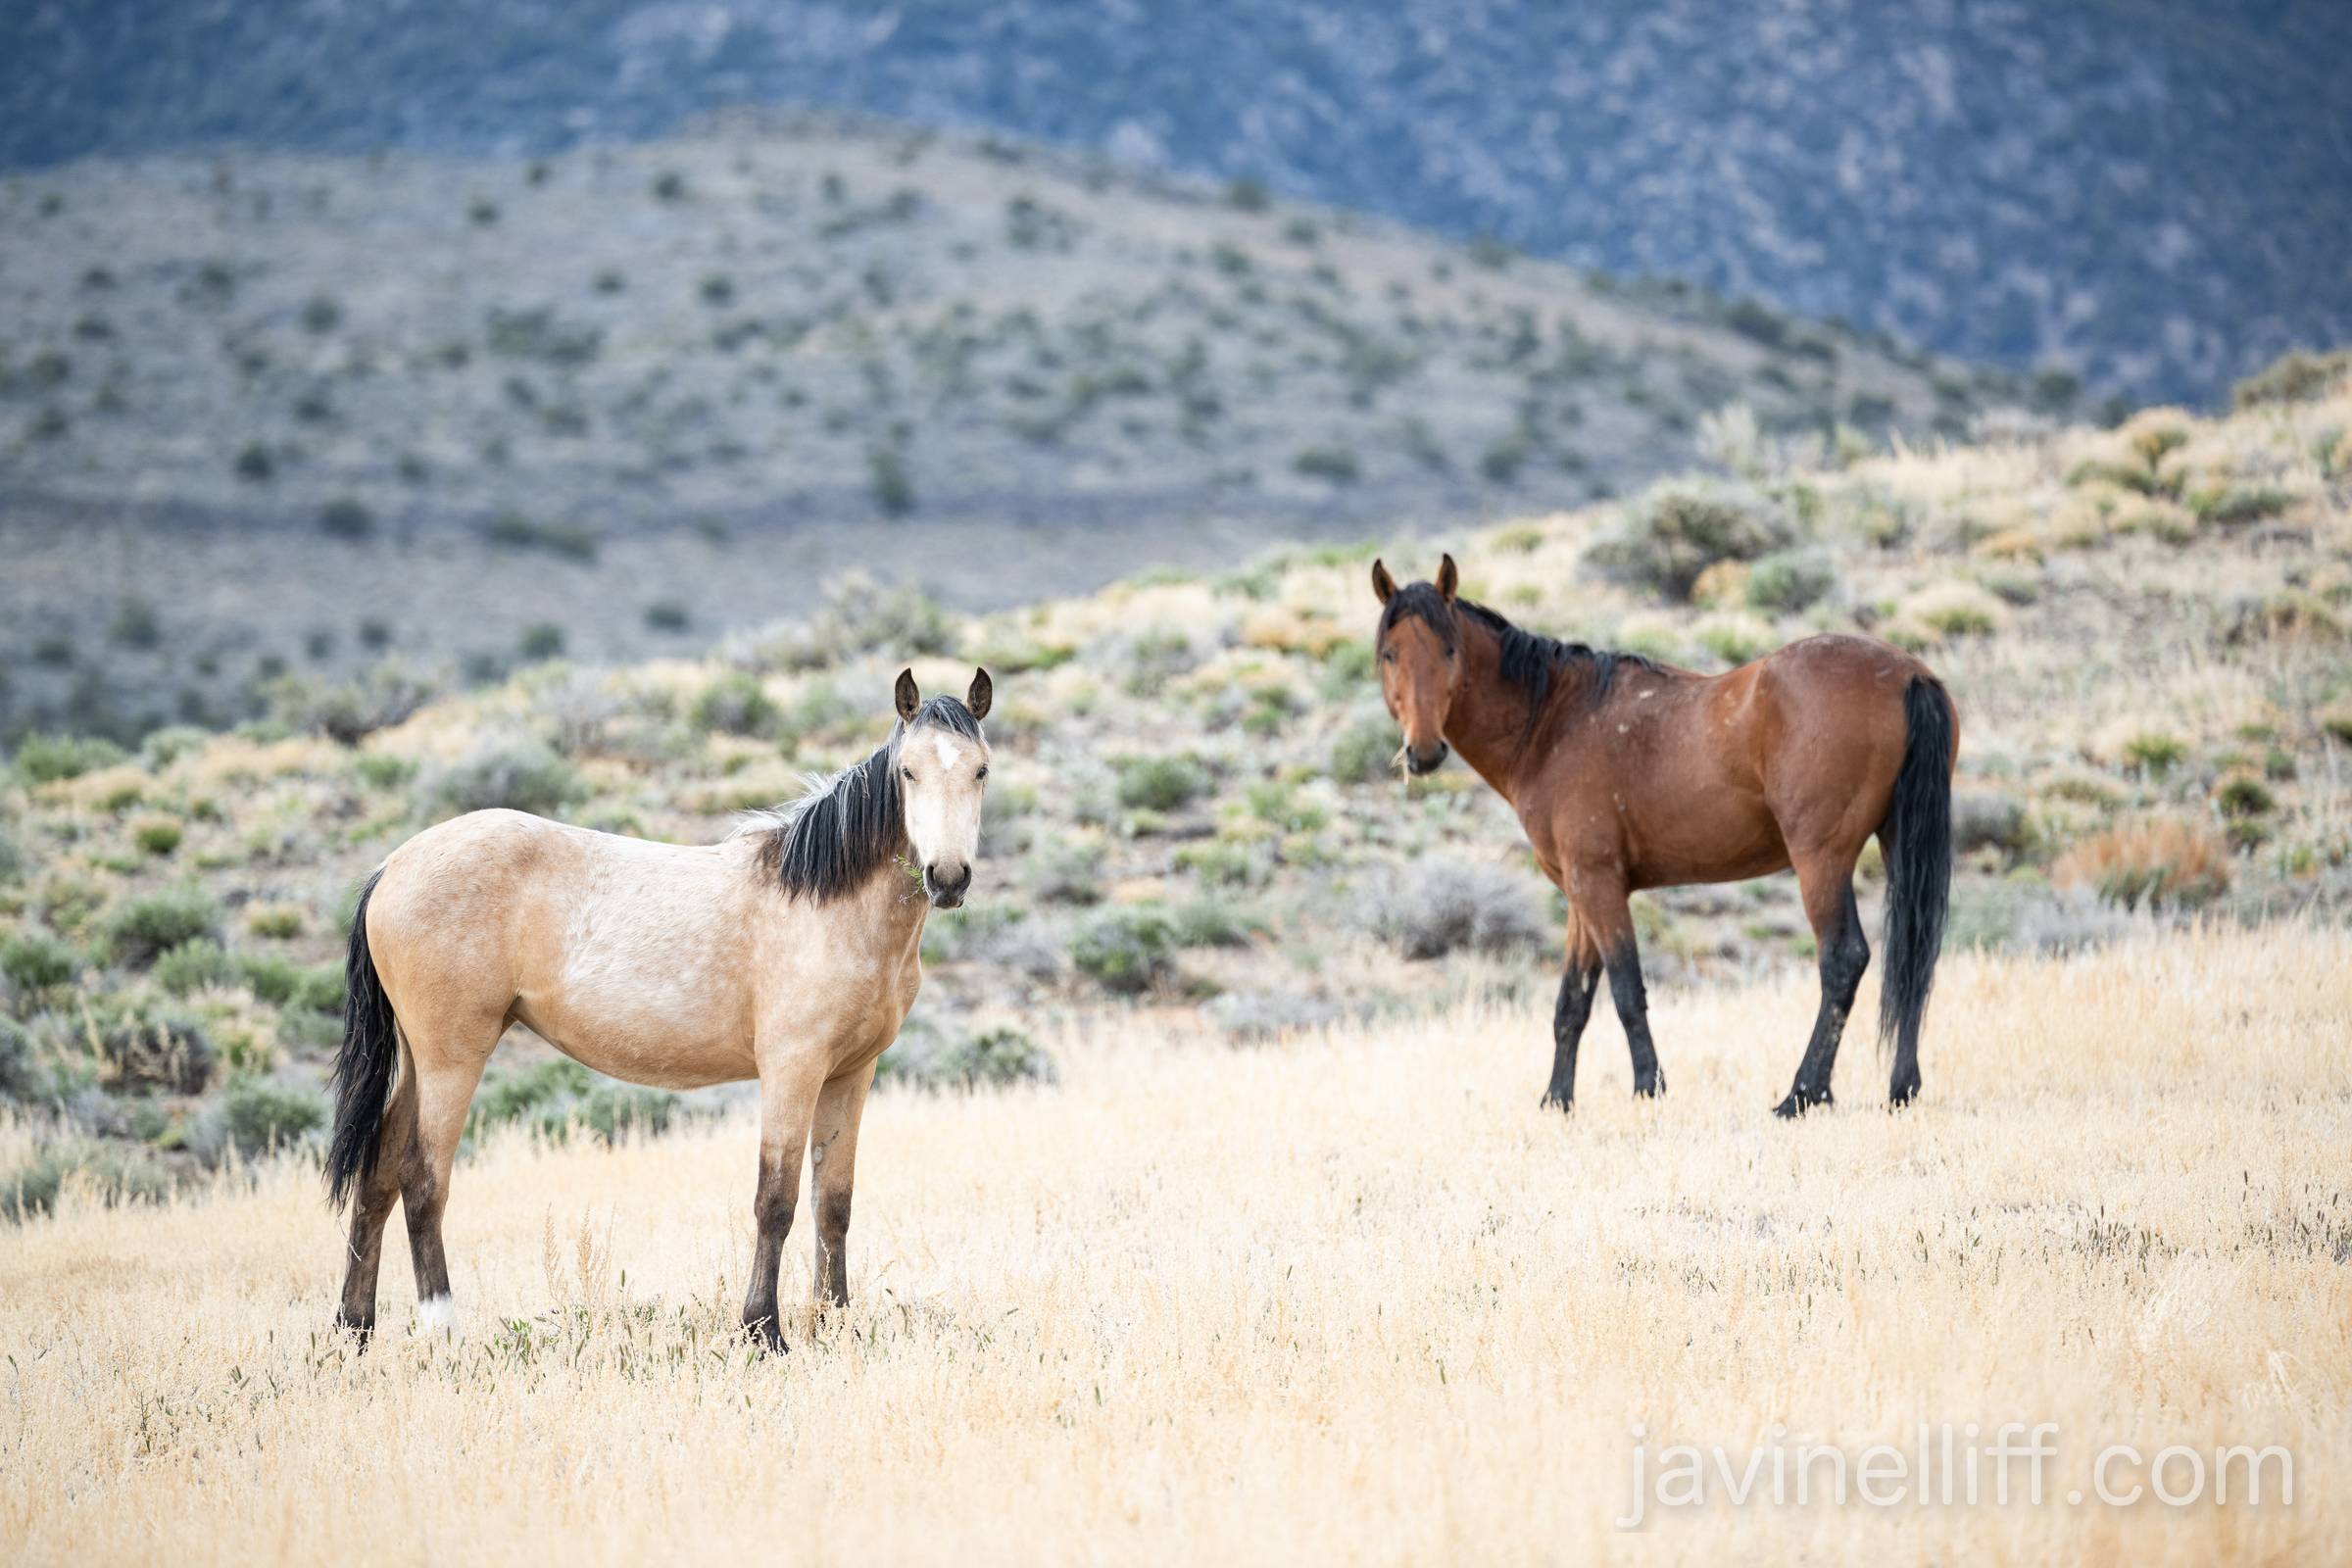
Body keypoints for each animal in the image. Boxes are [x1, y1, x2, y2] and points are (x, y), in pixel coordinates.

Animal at [325, 667, 995, 1351]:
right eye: (908, 771)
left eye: (980, 770)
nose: (947, 877)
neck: (825, 903)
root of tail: (392, 867)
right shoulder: (793, 1069)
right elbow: (775, 1201)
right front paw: (764, 1331)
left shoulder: (851, 1074)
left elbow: (832, 1203)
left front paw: (835, 1323)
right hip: (452, 1058)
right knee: (422, 1181)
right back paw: (445, 1331)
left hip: (418, 1060)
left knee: (377, 1176)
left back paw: (354, 1331)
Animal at [1369, 554, 1954, 1117]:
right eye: (1389, 655)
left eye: (1448, 649)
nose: (1424, 752)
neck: (1556, 721)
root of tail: (1908, 675)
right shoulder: (1582, 893)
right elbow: (1572, 1001)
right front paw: (1557, 1101)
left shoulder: (1599, 885)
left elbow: (1626, 990)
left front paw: (1648, 1088)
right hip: (1897, 844)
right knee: (1914, 957)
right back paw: (1900, 1089)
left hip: (1821, 859)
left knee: (1843, 960)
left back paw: (1802, 1095)